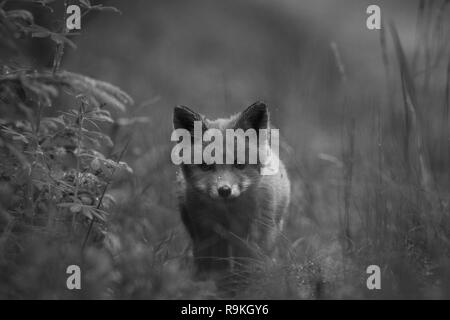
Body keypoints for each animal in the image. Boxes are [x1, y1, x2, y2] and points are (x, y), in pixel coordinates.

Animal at [172, 102, 292, 278]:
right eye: (205, 166)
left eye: (239, 164)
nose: (224, 190)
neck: (228, 213)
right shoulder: (207, 231)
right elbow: (215, 266)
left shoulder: (255, 230)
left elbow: (249, 261)